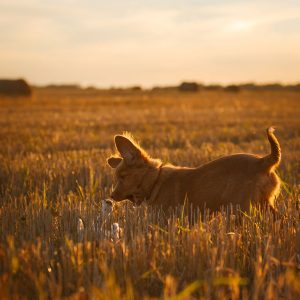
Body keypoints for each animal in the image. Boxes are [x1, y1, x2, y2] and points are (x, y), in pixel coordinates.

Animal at [107, 127, 282, 212]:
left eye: (122, 177)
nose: (111, 196)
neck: (156, 181)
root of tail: (262, 161)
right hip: (264, 204)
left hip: (241, 207)